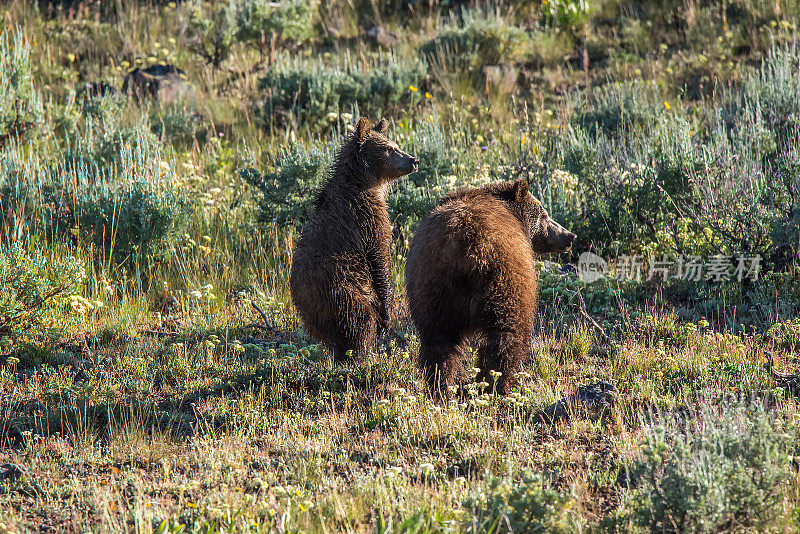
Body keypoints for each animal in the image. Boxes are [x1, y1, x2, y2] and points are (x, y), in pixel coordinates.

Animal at [292, 115, 418, 362]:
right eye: (390, 148)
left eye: (396, 144)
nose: (413, 160)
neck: (362, 182)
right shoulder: (367, 218)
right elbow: (379, 257)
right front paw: (387, 315)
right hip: (341, 290)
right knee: (359, 320)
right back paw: (363, 357)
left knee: (338, 337)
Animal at [406, 180, 576, 398]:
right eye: (544, 215)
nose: (569, 236)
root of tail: (468, 248)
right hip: (504, 280)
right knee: (506, 335)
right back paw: (499, 383)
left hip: (432, 286)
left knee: (438, 341)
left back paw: (441, 386)